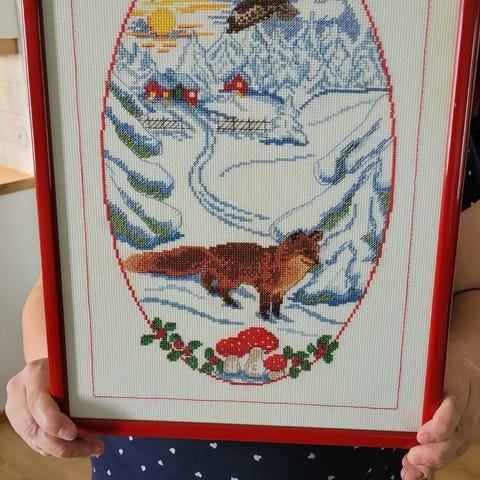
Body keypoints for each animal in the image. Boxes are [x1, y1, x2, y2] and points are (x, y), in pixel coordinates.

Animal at [123, 230, 323, 319]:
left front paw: (278, 317)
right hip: (233, 280)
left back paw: (211, 292)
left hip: (219, 274)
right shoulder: (266, 289)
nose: (317, 262)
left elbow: (277, 307)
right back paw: (231, 303)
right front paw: (266, 318)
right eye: (305, 251)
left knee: (205, 278)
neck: (287, 273)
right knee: (221, 288)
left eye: (315, 250)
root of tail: (210, 249)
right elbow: (265, 307)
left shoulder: (280, 292)